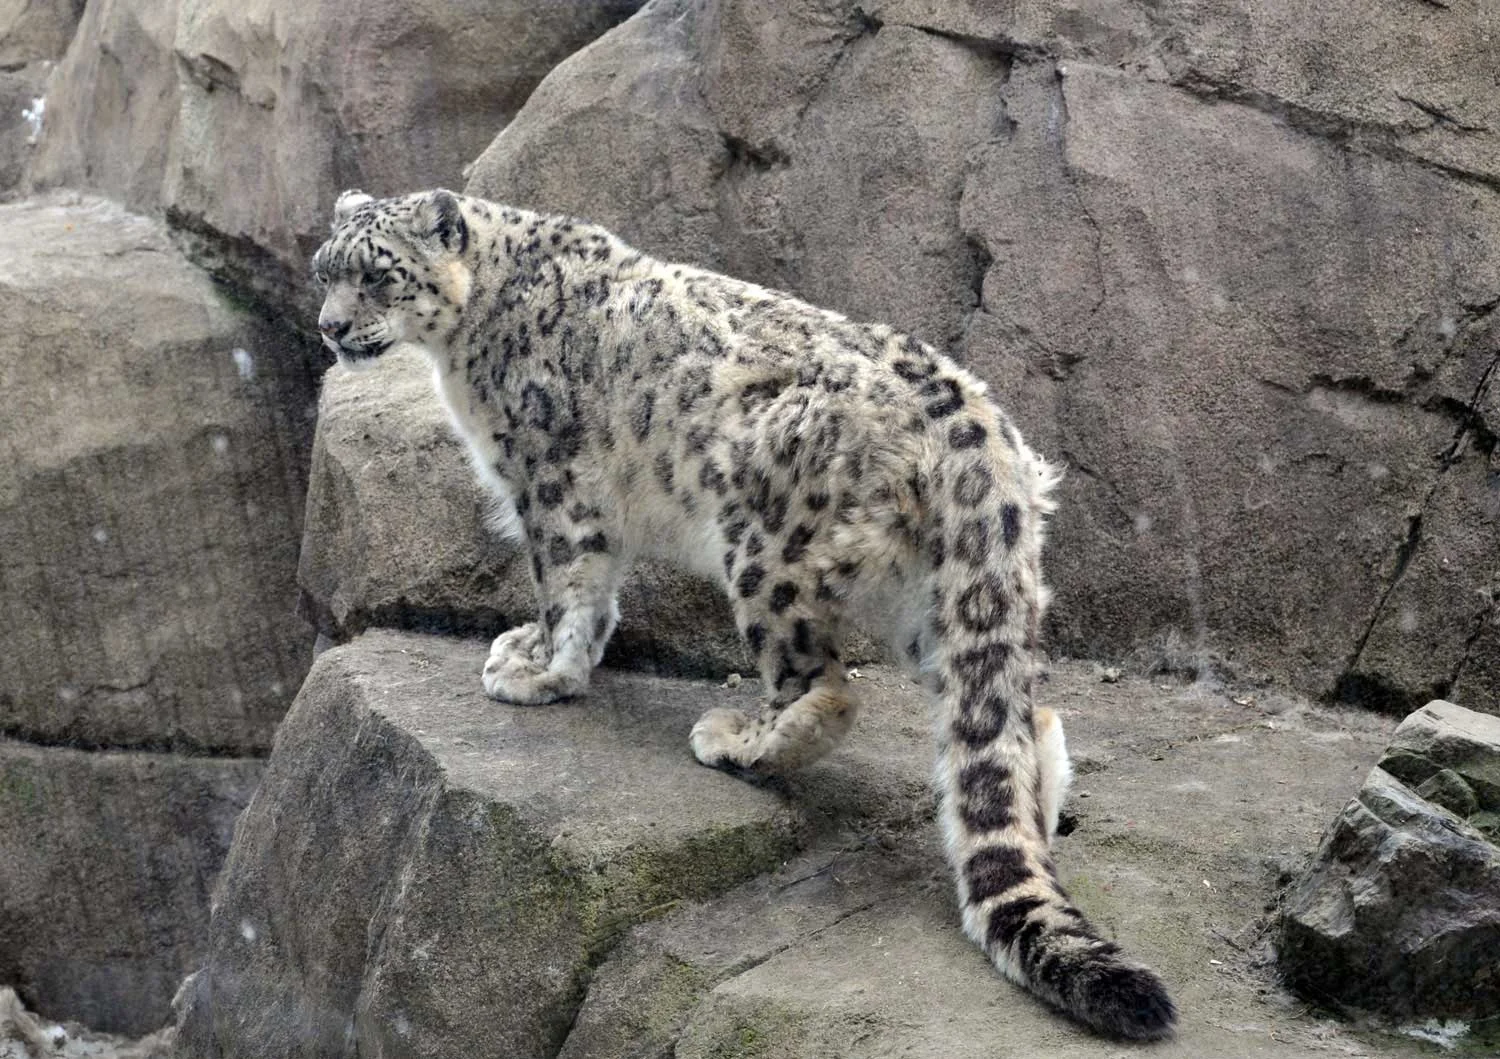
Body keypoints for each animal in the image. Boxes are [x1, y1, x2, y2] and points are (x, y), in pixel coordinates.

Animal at [313, 188, 1176, 1039]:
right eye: (326, 269)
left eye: (378, 274)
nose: (329, 326)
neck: (465, 338)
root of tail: (976, 430)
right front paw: (544, 648)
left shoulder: (549, 478)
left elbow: (567, 578)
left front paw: (540, 668)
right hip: (936, 598)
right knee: (1012, 717)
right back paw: (1035, 804)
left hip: (765, 549)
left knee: (823, 684)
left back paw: (738, 739)